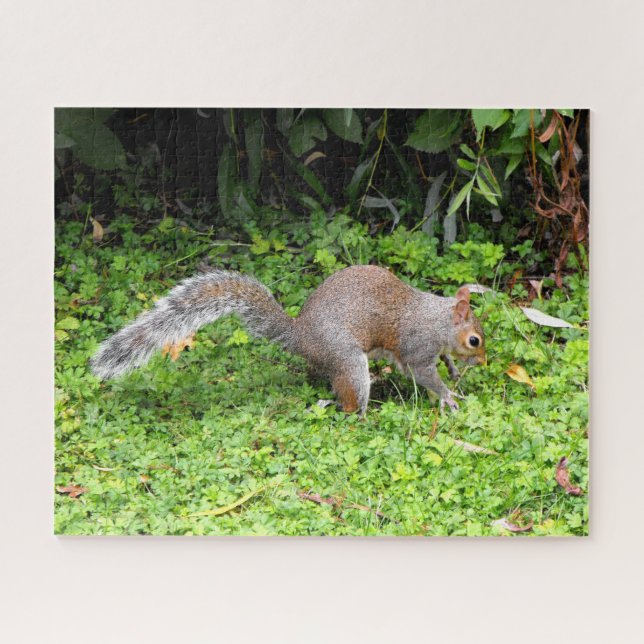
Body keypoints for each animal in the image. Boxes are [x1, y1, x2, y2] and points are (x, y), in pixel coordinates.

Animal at [90, 265, 486, 415]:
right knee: (348, 401)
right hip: (347, 359)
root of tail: (301, 336)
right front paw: (449, 396)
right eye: (475, 341)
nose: (483, 362)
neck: (437, 319)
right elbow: (422, 374)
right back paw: (362, 413)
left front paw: (453, 370)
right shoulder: (417, 347)